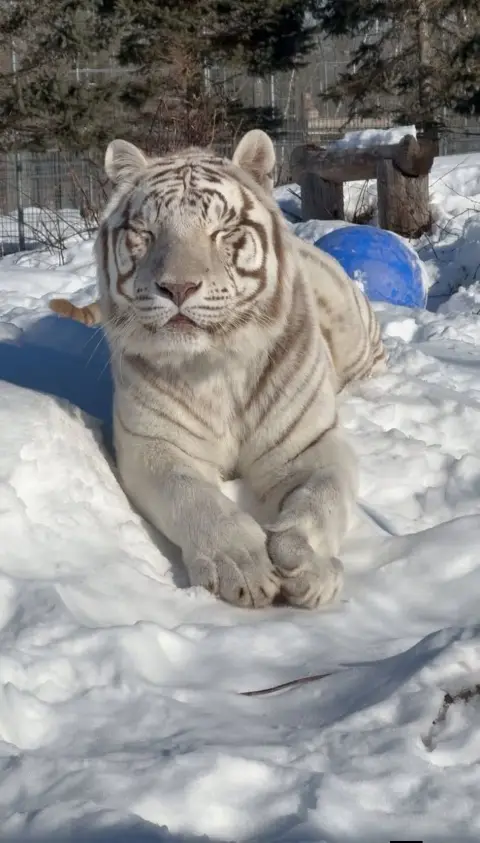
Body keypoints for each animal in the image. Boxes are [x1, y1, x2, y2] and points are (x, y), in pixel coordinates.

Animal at [50, 129, 386, 610]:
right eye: (146, 233)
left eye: (222, 230)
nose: (178, 288)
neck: (216, 367)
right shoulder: (154, 446)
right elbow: (194, 499)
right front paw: (242, 564)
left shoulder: (310, 444)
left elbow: (322, 498)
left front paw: (304, 562)